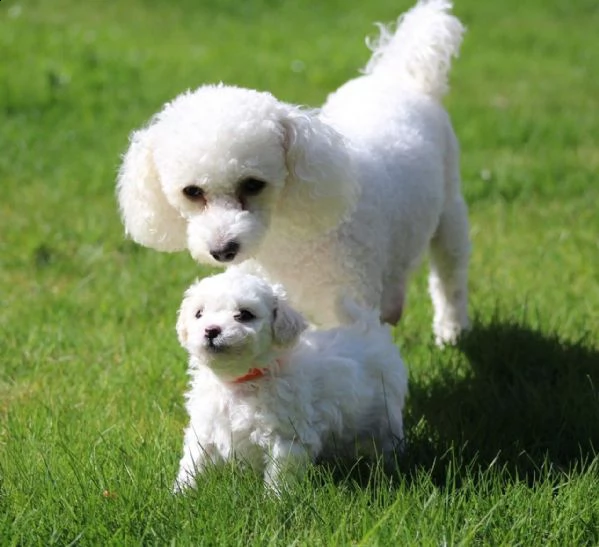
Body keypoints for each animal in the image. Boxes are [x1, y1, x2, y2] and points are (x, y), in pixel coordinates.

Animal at [118, 0, 474, 344]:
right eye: (192, 192)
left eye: (253, 184)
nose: (222, 251)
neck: (284, 235)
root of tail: (400, 76)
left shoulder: (350, 297)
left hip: (450, 211)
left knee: (450, 275)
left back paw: (451, 329)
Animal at [172, 268, 408, 492]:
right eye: (199, 313)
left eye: (245, 314)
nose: (211, 330)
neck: (240, 382)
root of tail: (367, 329)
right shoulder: (205, 426)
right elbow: (193, 460)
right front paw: (181, 493)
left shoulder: (287, 436)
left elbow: (279, 474)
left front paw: (274, 500)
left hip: (386, 408)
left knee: (387, 439)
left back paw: (390, 466)